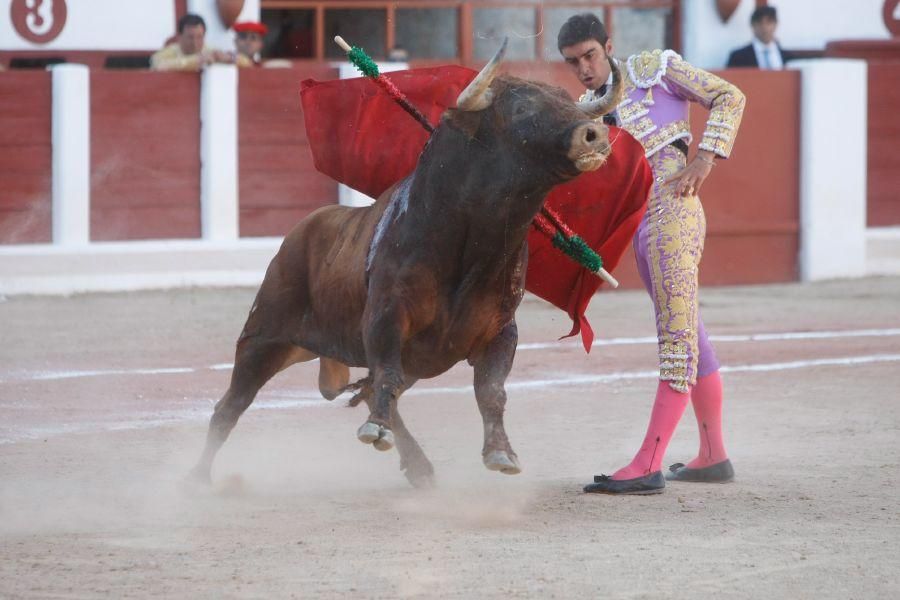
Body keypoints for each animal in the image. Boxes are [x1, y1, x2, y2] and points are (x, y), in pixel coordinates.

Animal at [192, 39, 624, 486]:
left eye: (568, 102)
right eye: (521, 108)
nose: (594, 133)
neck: (472, 244)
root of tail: (300, 231)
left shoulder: (501, 329)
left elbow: (490, 390)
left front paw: (501, 452)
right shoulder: (387, 317)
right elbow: (389, 374)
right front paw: (377, 431)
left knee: (369, 392)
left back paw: (418, 466)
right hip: (264, 337)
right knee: (231, 405)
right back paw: (198, 478)